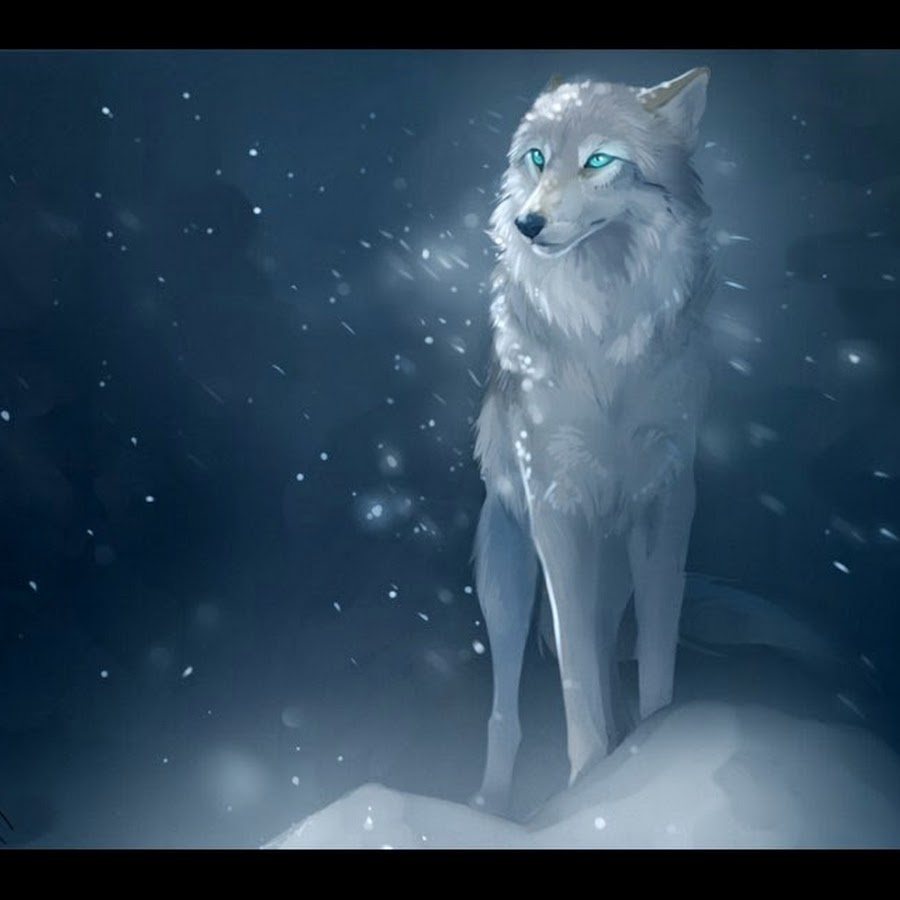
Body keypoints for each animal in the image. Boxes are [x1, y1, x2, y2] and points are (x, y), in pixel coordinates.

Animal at [472, 67, 715, 812]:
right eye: (538, 159)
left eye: (599, 161)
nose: (528, 223)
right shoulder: (556, 508)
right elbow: (574, 671)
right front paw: (586, 784)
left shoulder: (668, 502)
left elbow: (657, 651)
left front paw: (653, 748)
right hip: (505, 576)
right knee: (506, 707)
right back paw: (491, 803)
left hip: (612, 580)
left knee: (610, 659)